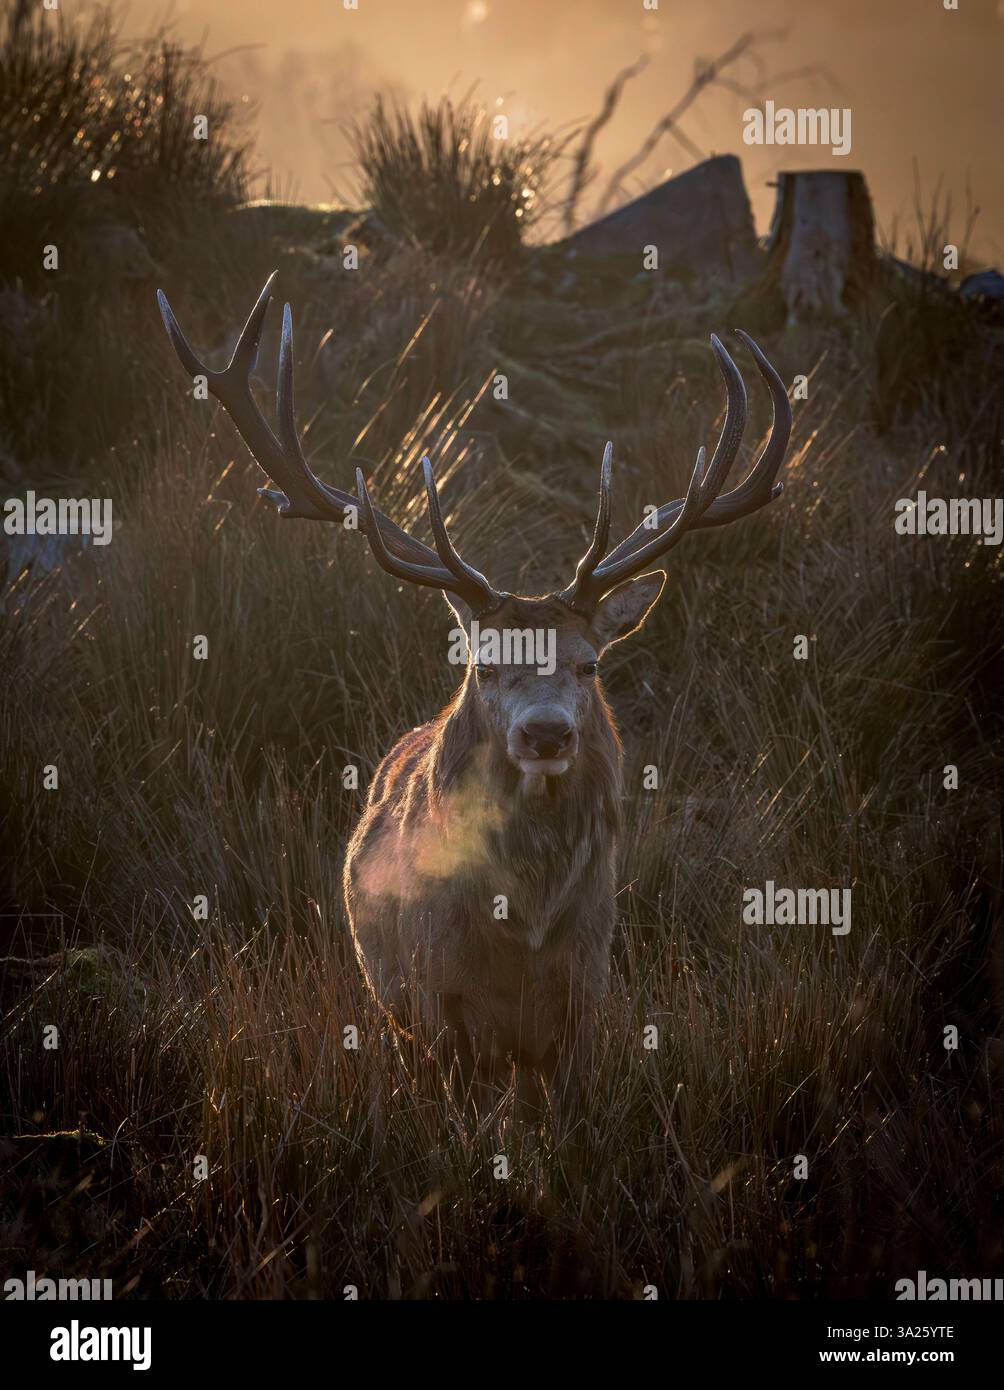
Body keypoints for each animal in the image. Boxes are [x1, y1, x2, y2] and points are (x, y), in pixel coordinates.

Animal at [157, 272, 791, 1119]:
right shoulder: (439, 1003)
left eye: (590, 666)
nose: (547, 733)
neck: (525, 928)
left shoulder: (589, 991)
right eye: (484, 666)